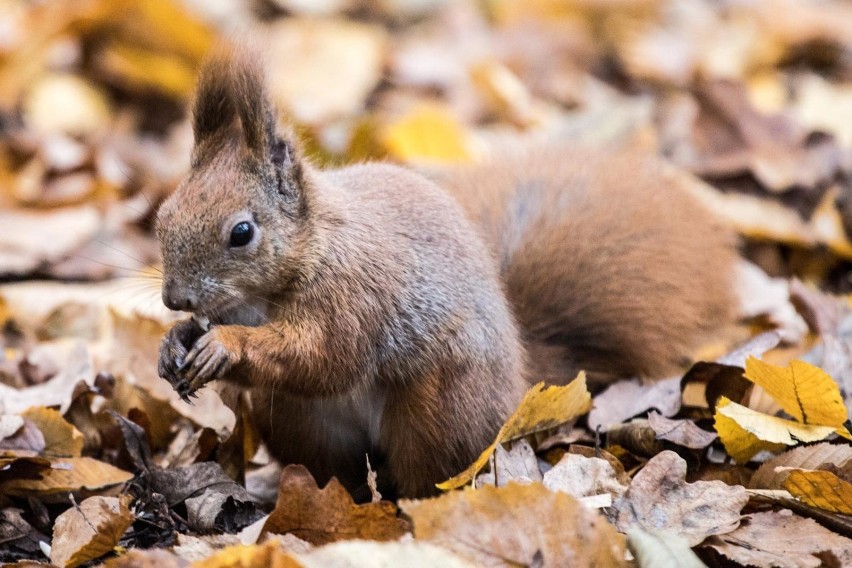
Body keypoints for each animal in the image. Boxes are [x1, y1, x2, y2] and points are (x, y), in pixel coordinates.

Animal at [155, 50, 740, 502]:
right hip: (303, 425)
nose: (173, 299)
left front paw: (225, 345)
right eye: (163, 215)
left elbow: (323, 357)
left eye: (242, 232)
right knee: (335, 469)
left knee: (429, 474)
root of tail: (518, 383)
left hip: (439, 409)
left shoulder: (353, 294)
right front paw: (174, 343)